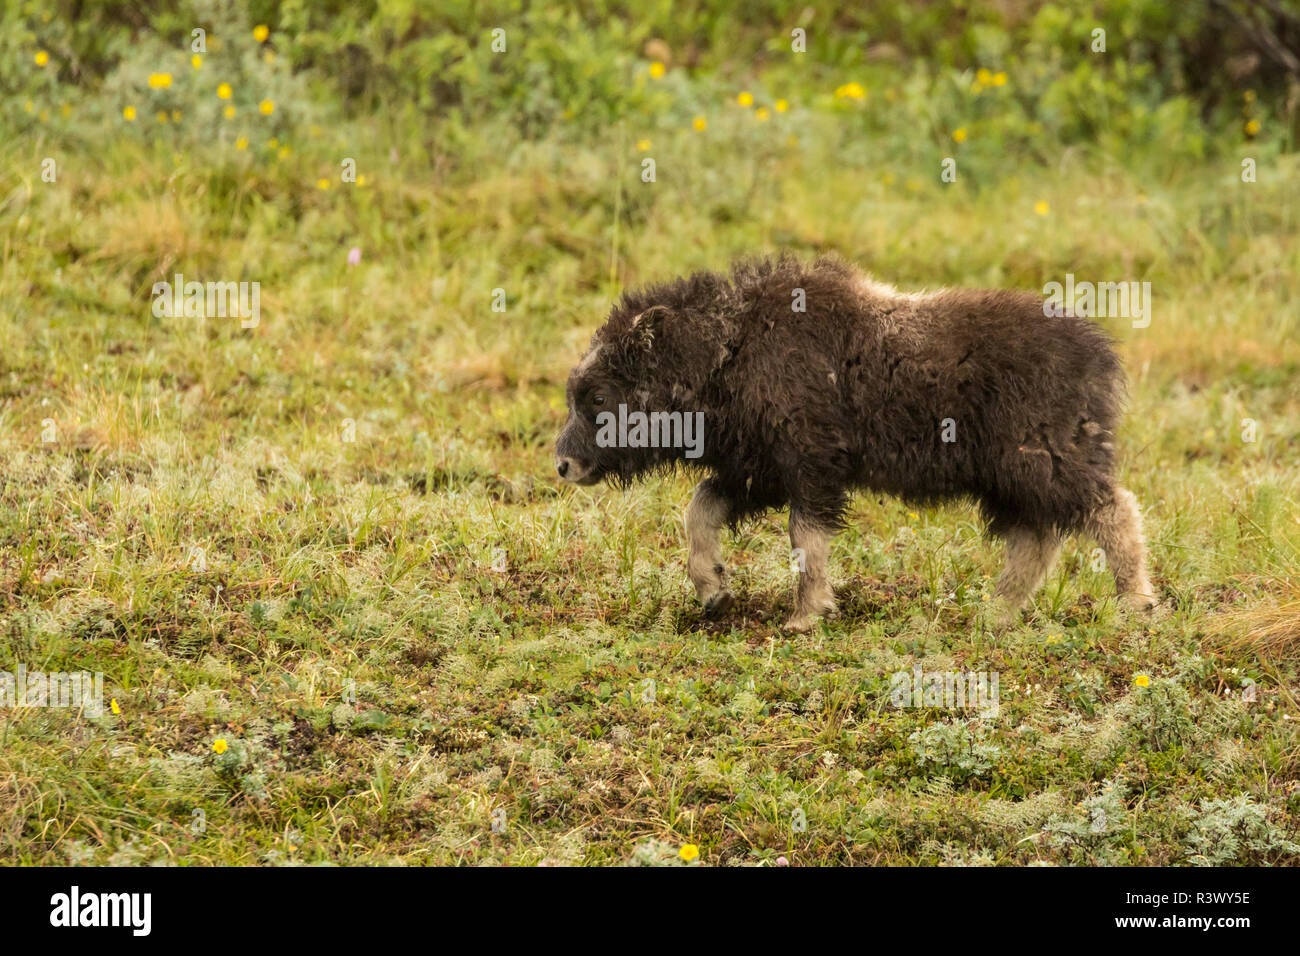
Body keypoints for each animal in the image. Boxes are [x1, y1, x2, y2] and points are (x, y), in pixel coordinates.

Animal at [553, 254, 1154, 632]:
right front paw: (714, 592)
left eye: (598, 395)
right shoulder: (761, 471)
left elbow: (805, 537)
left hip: (1044, 459)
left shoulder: (810, 464)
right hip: (1010, 477)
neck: (726, 351)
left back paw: (1137, 605)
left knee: (1112, 509)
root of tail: (1097, 351)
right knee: (1037, 537)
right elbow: (701, 508)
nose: (562, 465)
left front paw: (804, 617)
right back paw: (994, 614)